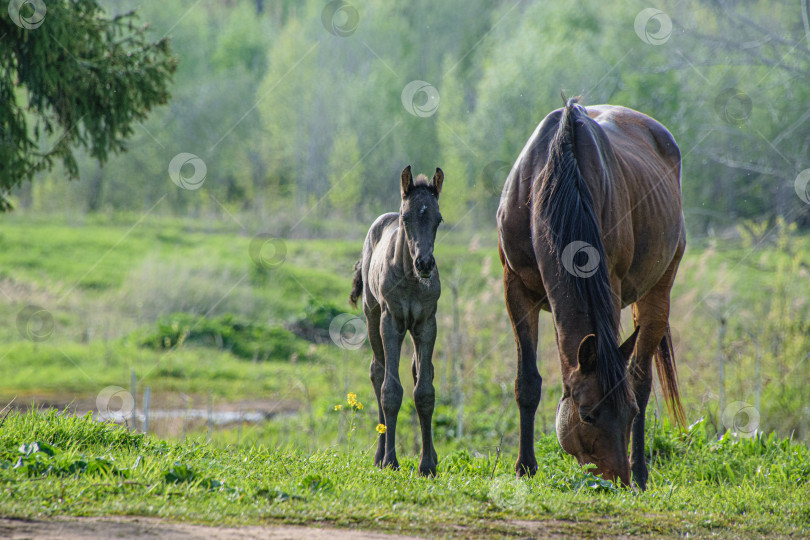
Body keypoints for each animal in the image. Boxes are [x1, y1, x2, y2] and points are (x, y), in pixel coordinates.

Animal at [350, 166, 446, 476]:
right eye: (407, 218)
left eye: (438, 219)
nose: (425, 264)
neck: (411, 279)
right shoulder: (390, 322)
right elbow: (390, 391)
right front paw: (390, 461)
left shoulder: (427, 323)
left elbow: (424, 391)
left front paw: (427, 465)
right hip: (371, 316)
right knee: (377, 372)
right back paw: (380, 454)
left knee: (420, 371)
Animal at [496, 98, 684, 490]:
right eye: (587, 415)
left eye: (627, 414)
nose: (617, 481)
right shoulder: (515, 288)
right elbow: (527, 382)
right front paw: (525, 468)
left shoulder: (609, 283)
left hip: (658, 292)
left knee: (641, 380)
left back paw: (642, 472)